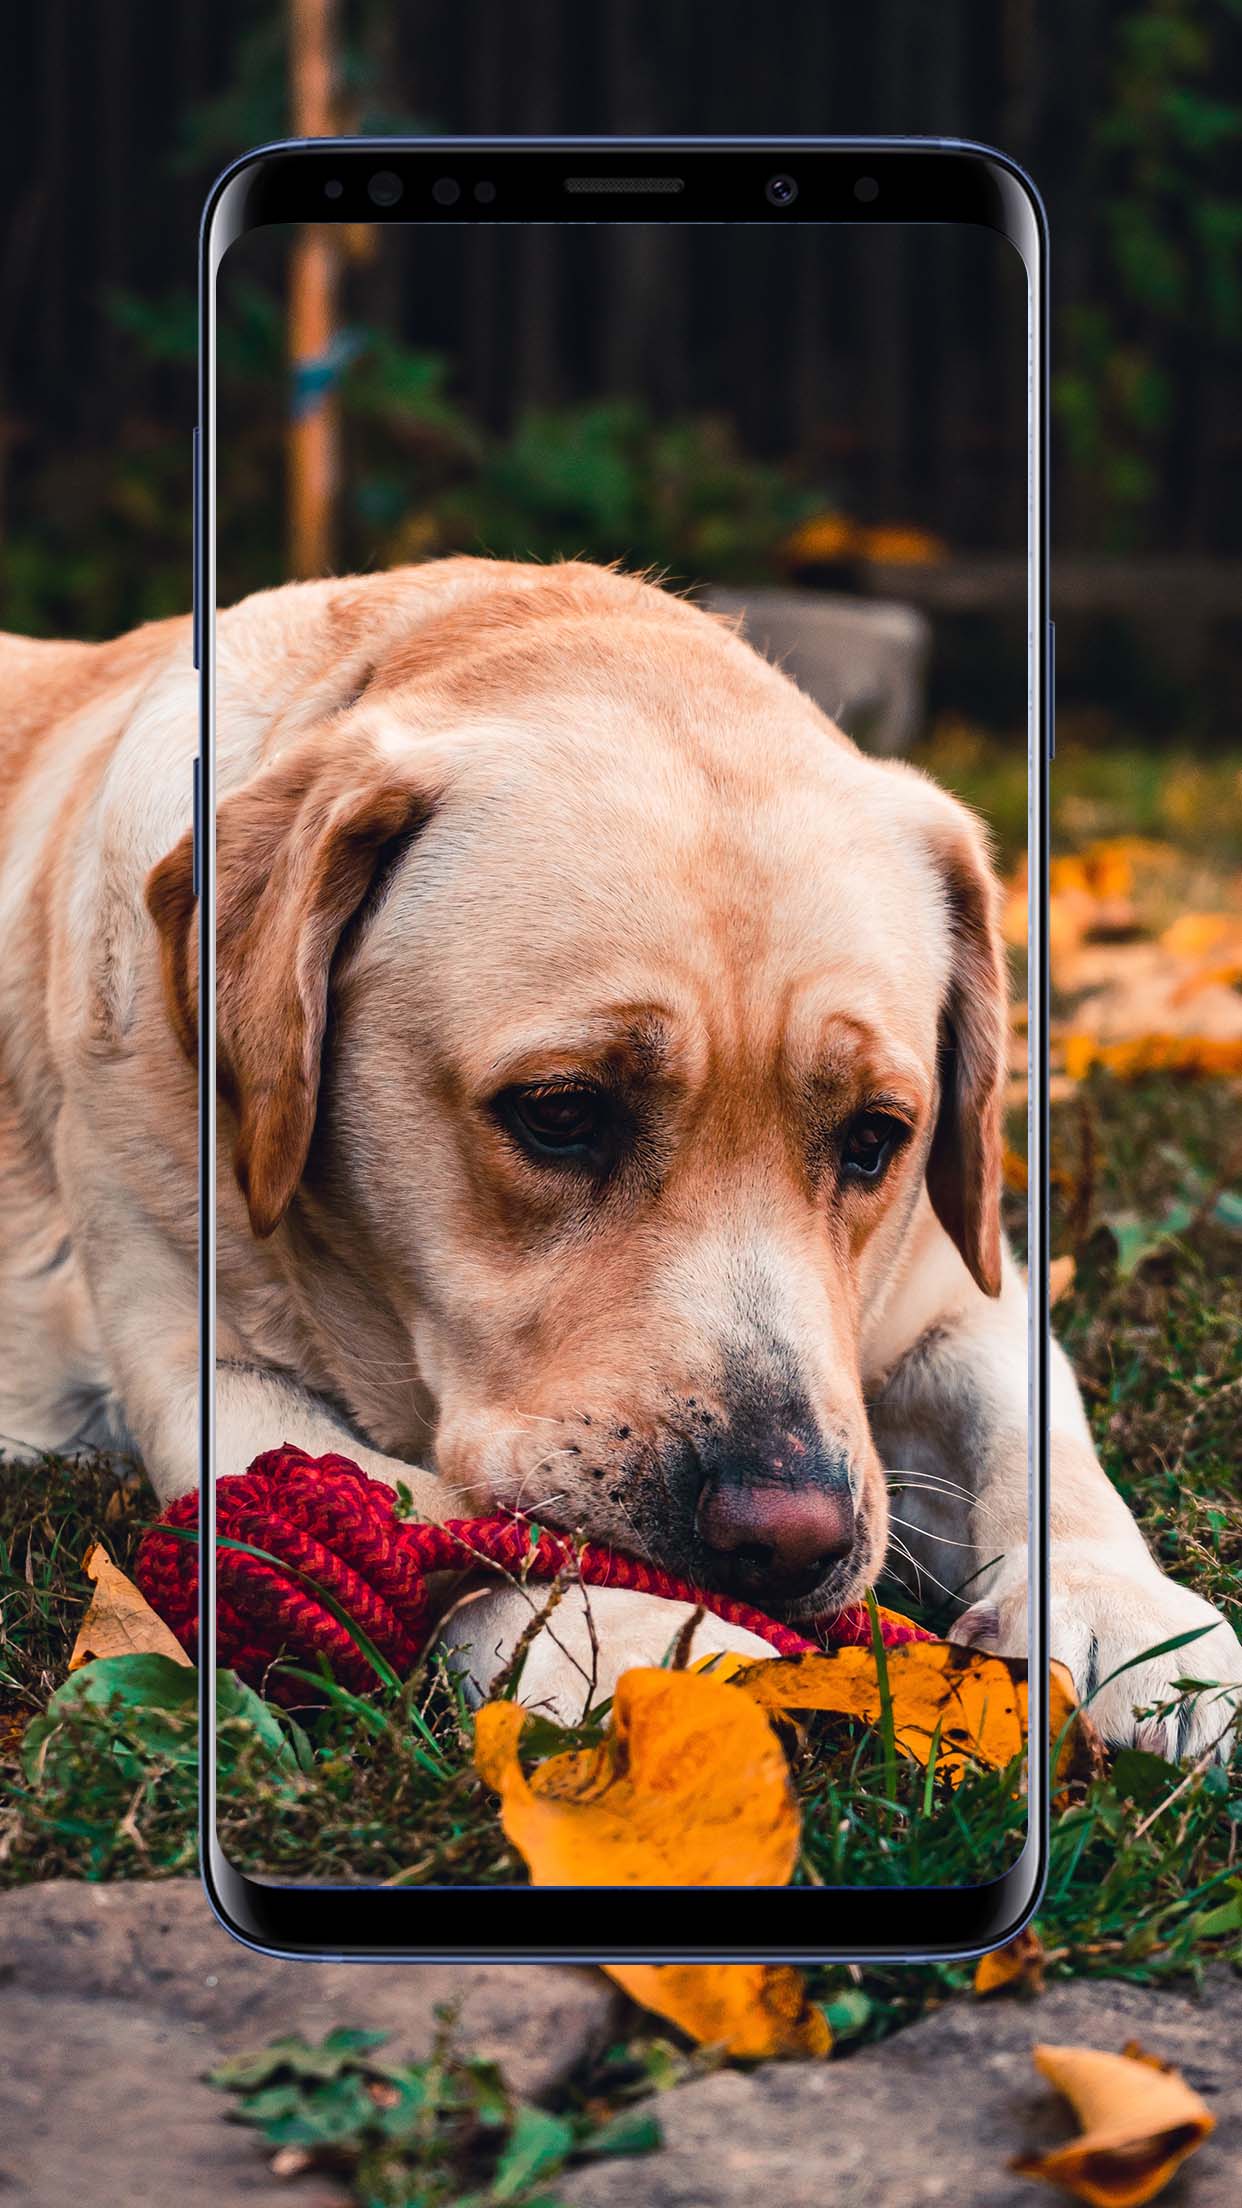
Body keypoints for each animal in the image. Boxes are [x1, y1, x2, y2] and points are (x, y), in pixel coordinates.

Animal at [1, 558, 1238, 1753]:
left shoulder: (957, 1289)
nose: (788, 1541)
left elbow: (1036, 1426)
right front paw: (640, 1629)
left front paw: (1129, 1615)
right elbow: (436, 1510)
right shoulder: (202, 1368)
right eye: (560, 1113)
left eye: (876, 1138)